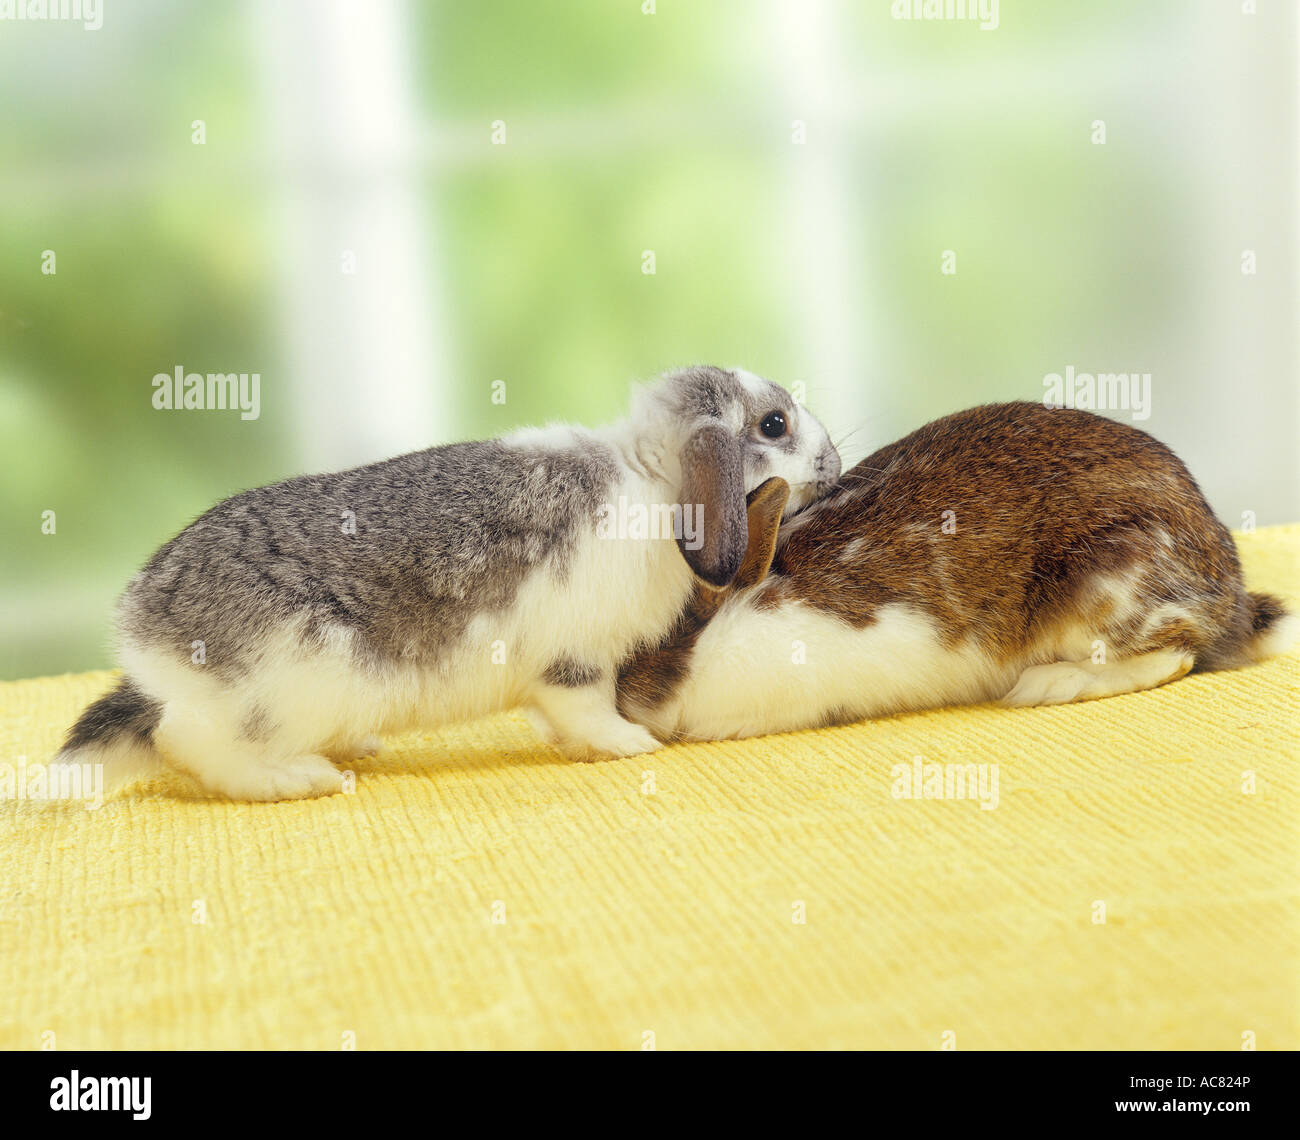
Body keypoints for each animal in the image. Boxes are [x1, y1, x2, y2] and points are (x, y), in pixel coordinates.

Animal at [53, 365, 842, 800]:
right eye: (774, 424)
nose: (832, 465)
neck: (654, 485)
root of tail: (143, 632)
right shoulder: (574, 661)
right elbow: (586, 710)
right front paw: (629, 745)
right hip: (280, 687)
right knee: (191, 742)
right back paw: (297, 779)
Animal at [617, 401, 1298, 743]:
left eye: (660, 636)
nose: (623, 695)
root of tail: (1230, 598)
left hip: (1106, 588)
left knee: (1175, 655)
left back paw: (1047, 686)